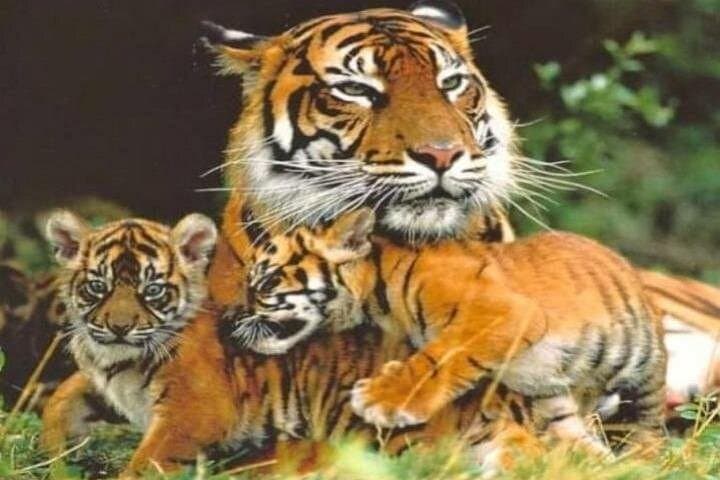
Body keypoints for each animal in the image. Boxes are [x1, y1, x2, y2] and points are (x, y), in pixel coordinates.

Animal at [39, 210, 549, 478]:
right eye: (98, 287)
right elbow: (63, 395)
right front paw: (56, 446)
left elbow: (146, 461)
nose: (120, 327)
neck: (118, 359)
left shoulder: (192, 413)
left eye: (153, 291)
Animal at [229, 208, 667, 452]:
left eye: (264, 284)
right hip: (551, 399)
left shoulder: (499, 312)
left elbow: (440, 358)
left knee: (648, 428)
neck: (376, 298)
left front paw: (381, 399)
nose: (231, 320)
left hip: (639, 375)